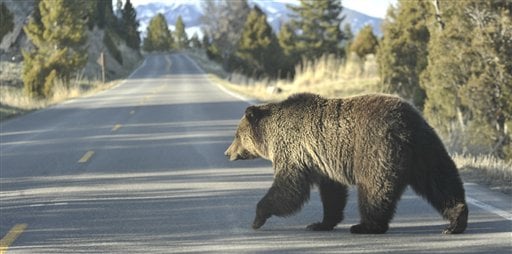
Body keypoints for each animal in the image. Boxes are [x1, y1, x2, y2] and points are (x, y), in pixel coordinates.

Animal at [224, 93, 468, 234]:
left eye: (237, 135)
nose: (228, 153)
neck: (271, 134)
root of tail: (405, 125)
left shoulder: (294, 150)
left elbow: (289, 186)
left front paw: (257, 217)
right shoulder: (322, 162)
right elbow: (332, 193)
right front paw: (321, 223)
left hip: (376, 148)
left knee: (375, 189)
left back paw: (365, 226)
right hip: (426, 148)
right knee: (441, 181)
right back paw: (456, 221)